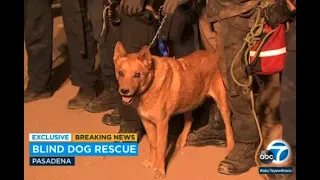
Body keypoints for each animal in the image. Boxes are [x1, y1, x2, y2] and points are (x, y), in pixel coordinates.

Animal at [114, 41, 234, 179]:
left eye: (137, 75)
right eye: (121, 73)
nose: (124, 91)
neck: (150, 87)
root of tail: (213, 54)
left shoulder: (162, 124)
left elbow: (160, 148)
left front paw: (159, 169)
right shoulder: (147, 122)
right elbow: (153, 144)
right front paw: (151, 161)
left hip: (222, 105)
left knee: (228, 127)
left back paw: (231, 148)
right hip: (188, 100)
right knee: (189, 119)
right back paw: (182, 139)